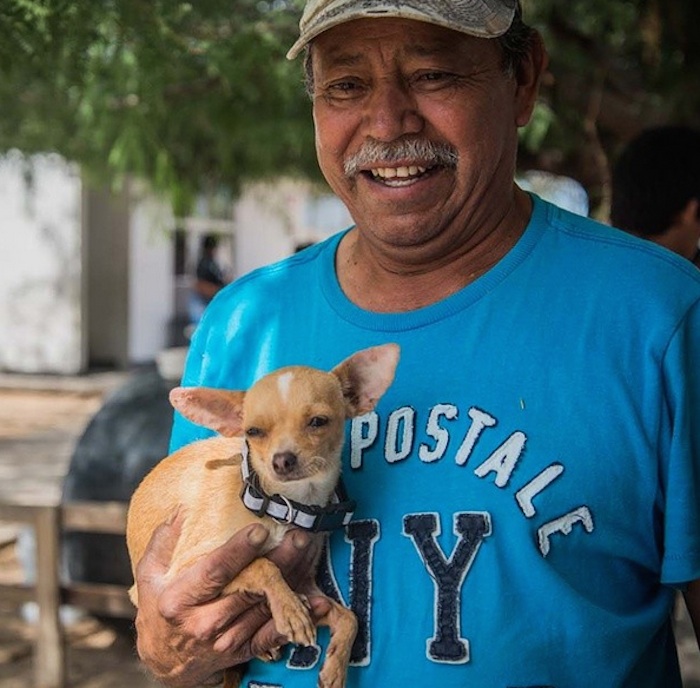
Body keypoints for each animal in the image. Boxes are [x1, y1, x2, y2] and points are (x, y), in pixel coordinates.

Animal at [126, 344, 400, 688]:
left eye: (318, 421)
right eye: (253, 432)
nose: (282, 460)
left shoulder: (311, 590)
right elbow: (262, 564)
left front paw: (336, 669)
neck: (283, 505)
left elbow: (348, 617)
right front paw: (289, 610)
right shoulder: (189, 569)